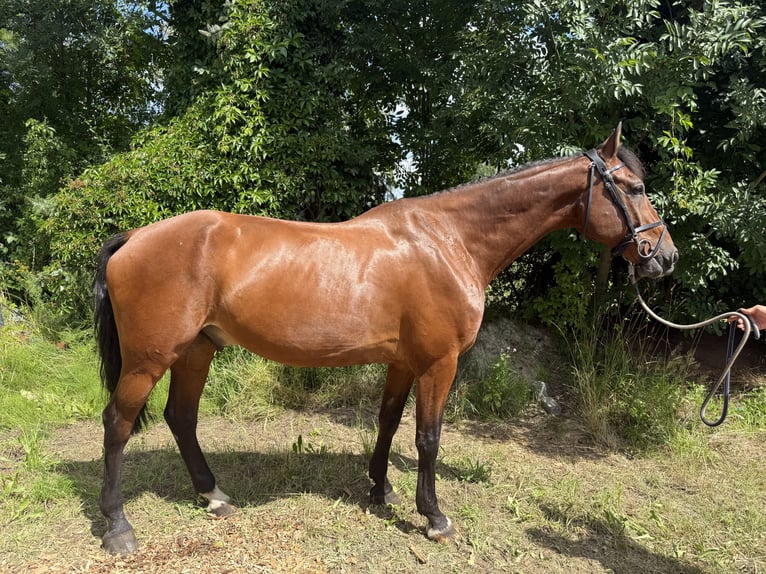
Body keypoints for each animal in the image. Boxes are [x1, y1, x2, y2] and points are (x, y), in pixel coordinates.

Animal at [93, 124, 678, 554]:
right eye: (633, 188)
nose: (665, 257)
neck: (449, 241)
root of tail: (135, 237)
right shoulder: (440, 363)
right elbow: (428, 438)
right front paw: (434, 516)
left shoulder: (404, 361)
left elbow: (389, 422)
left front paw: (380, 489)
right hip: (149, 359)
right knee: (118, 423)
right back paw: (118, 527)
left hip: (197, 348)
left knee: (181, 417)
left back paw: (213, 496)